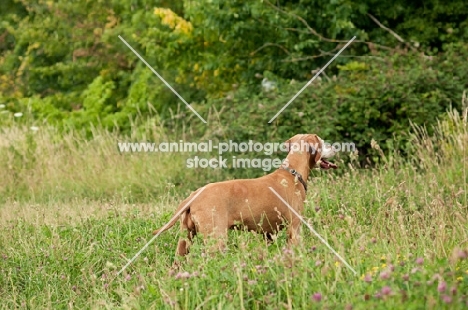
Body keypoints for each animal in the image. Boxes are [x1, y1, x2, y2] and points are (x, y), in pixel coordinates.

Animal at [153, 133, 336, 254]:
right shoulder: (295, 227)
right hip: (216, 239)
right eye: (323, 142)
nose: (335, 147)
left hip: (185, 240)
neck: (292, 173)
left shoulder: (269, 234)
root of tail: (195, 194)